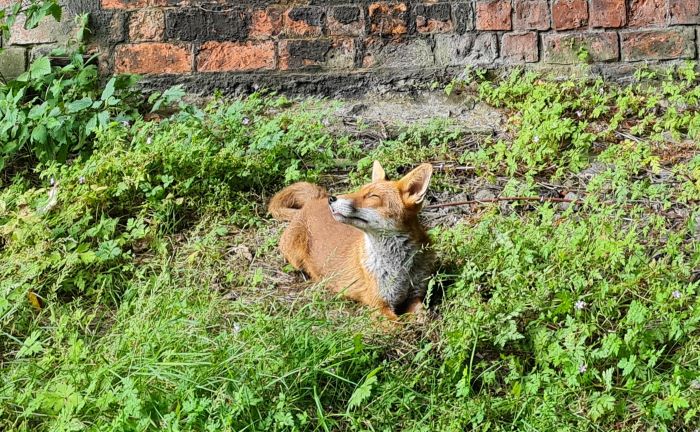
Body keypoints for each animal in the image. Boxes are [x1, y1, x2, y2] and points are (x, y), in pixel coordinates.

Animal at [268, 161, 434, 320]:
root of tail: (316, 200)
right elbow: (400, 325)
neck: (401, 269)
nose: (332, 198)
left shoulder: (415, 295)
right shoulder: (378, 305)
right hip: (295, 257)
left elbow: (423, 318)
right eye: (360, 191)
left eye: (373, 196)